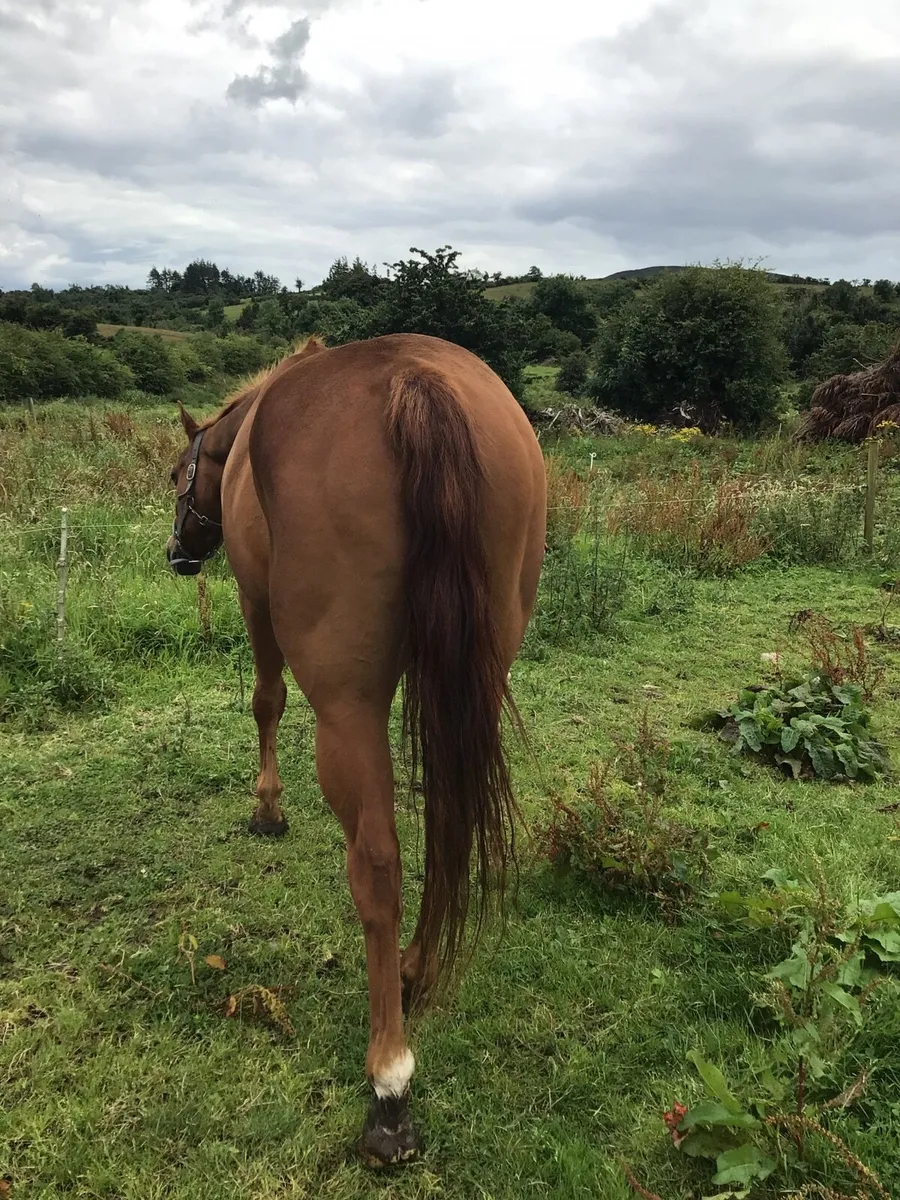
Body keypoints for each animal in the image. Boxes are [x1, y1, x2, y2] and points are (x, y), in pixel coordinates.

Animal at [166, 333, 546, 1165]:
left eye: (178, 475)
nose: (178, 551)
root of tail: (413, 382)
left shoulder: (254, 604)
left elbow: (265, 700)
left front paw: (267, 808)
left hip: (346, 706)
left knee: (377, 863)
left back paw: (389, 1084)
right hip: (480, 665)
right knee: (446, 822)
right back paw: (416, 969)